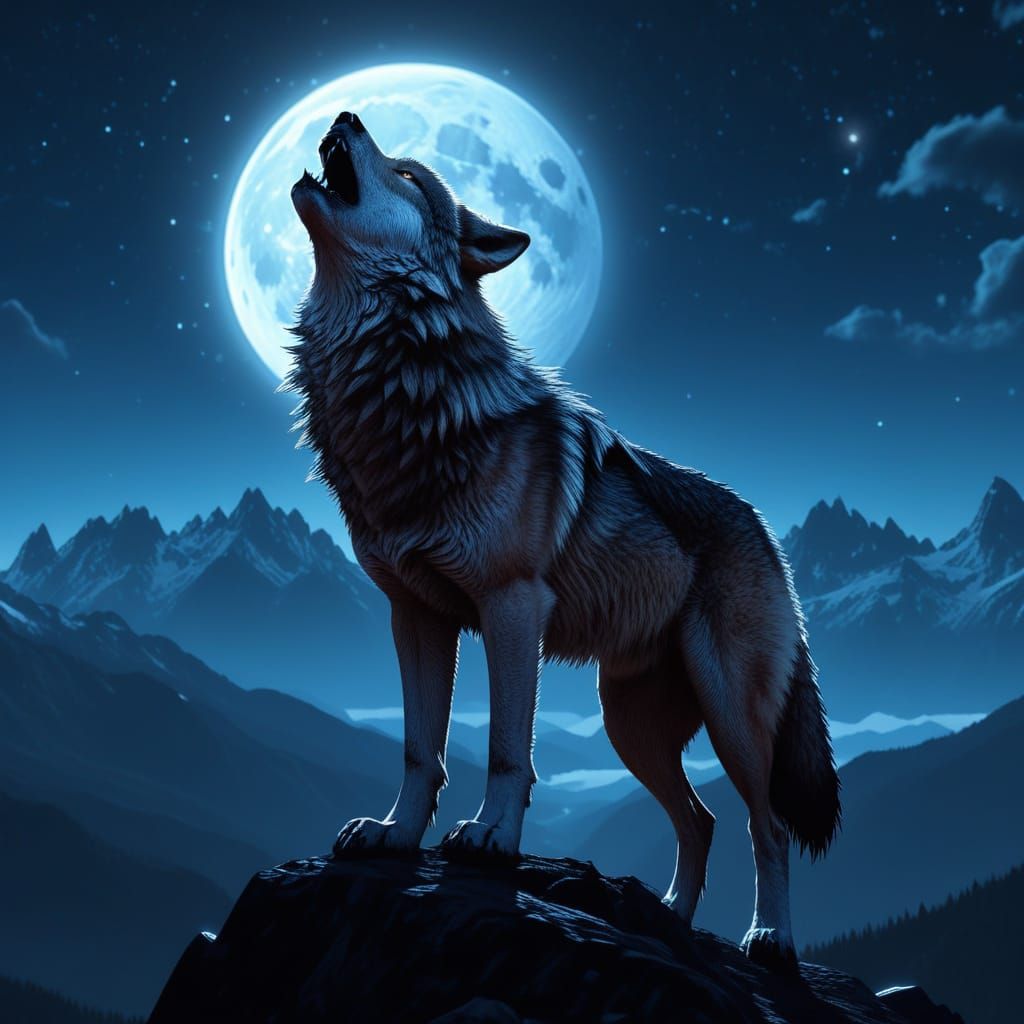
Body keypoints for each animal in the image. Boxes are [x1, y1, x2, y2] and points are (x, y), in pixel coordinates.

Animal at [287, 111, 841, 968]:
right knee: (702, 819)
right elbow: (421, 746)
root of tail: (768, 535)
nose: (345, 115)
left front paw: (489, 840)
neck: (405, 397)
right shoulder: (415, 615)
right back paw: (671, 917)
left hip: (731, 718)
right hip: (628, 724)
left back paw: (770, 938)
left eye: (410, 175)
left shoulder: (512, 608)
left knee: (767, 824)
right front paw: (395, 834)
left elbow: (508, 750)